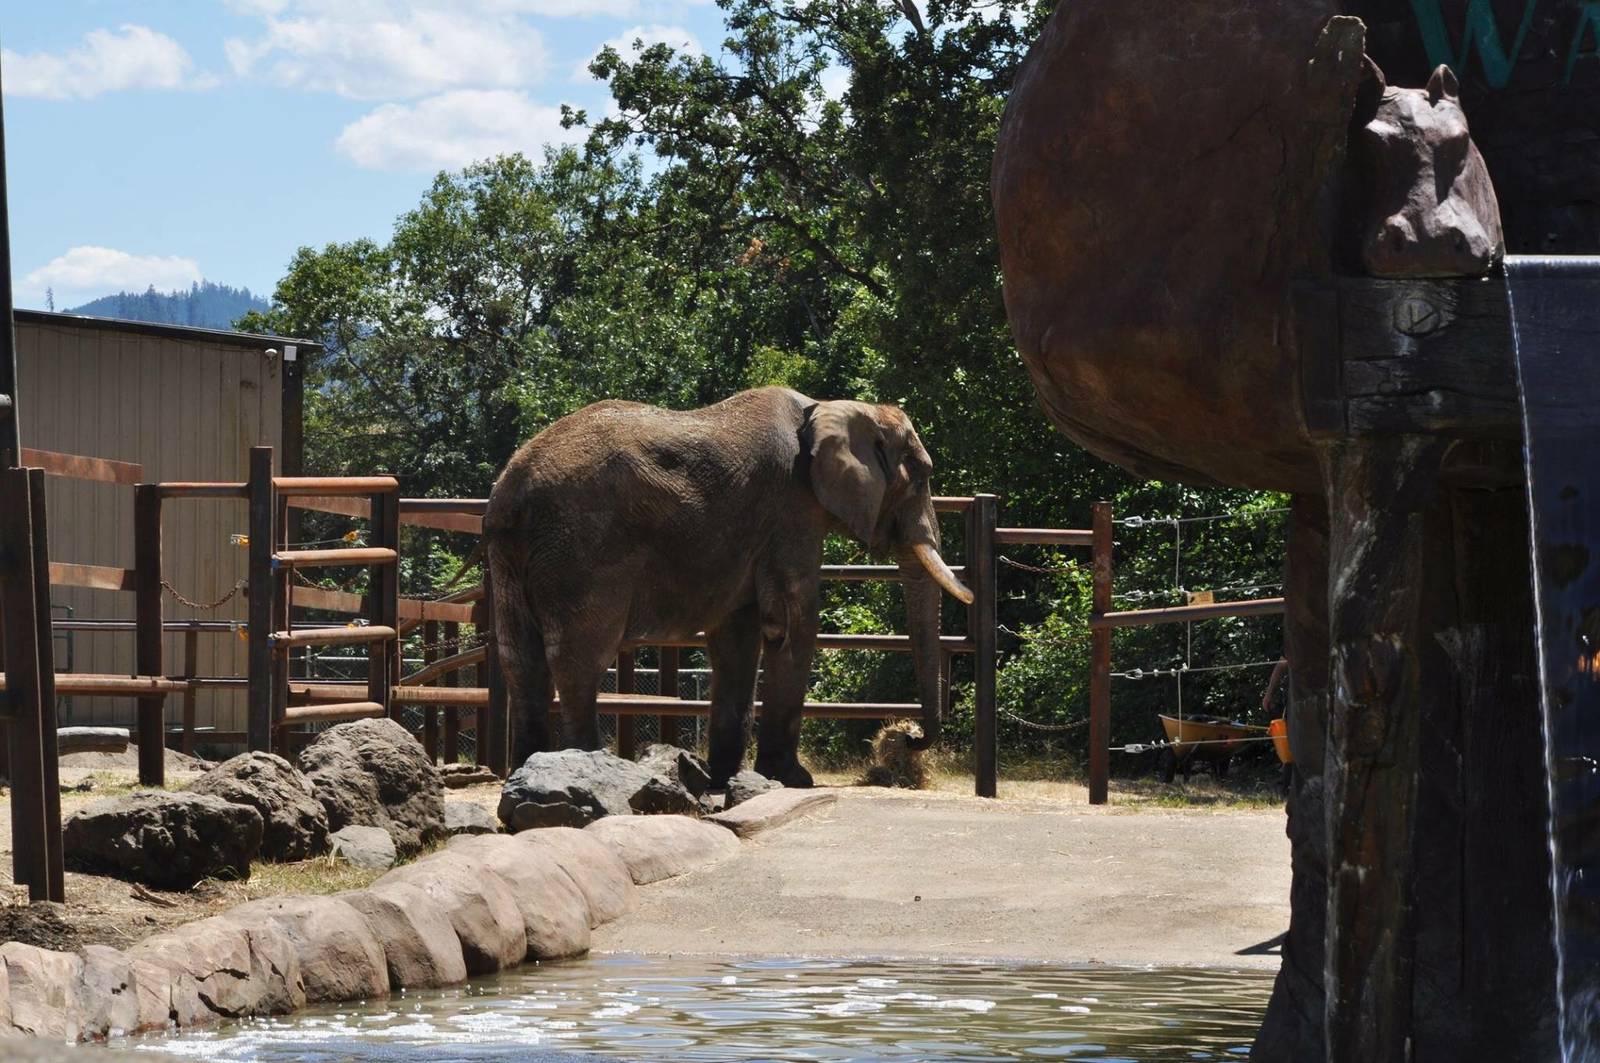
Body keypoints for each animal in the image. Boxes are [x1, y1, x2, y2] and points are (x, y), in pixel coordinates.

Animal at [482, 386, 973, 789]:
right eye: (922, 475)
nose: (904, 737)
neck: (830, 407)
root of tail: (512, 486)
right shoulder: (792, 509)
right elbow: (793, 624)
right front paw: (793, 780)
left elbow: (739, 636)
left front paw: (724, 778)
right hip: (582, 548)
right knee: (580, 657)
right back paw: (583, 765)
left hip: (510, 555)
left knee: (520, 658)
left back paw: (526, 774)